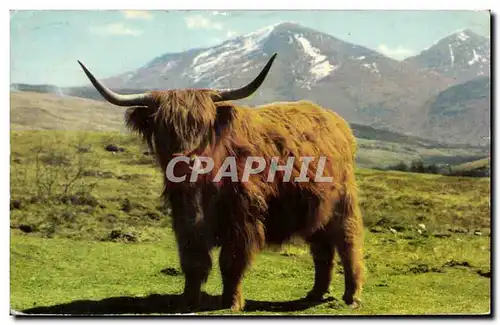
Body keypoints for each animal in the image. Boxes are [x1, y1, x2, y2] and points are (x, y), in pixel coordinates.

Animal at [80, 53, 366, 312]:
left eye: (204, 126)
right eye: (164, 128)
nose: (187, 162)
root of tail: (336, 121)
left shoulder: (242, 218)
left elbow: (231, 261)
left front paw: (231, 302)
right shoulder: (185, 219)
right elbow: (193, 261)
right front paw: (188, 300)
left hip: (344, 203)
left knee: (348, 242)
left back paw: (351, 296)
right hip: (316, 208)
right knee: (322, 250)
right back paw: (316, 293)